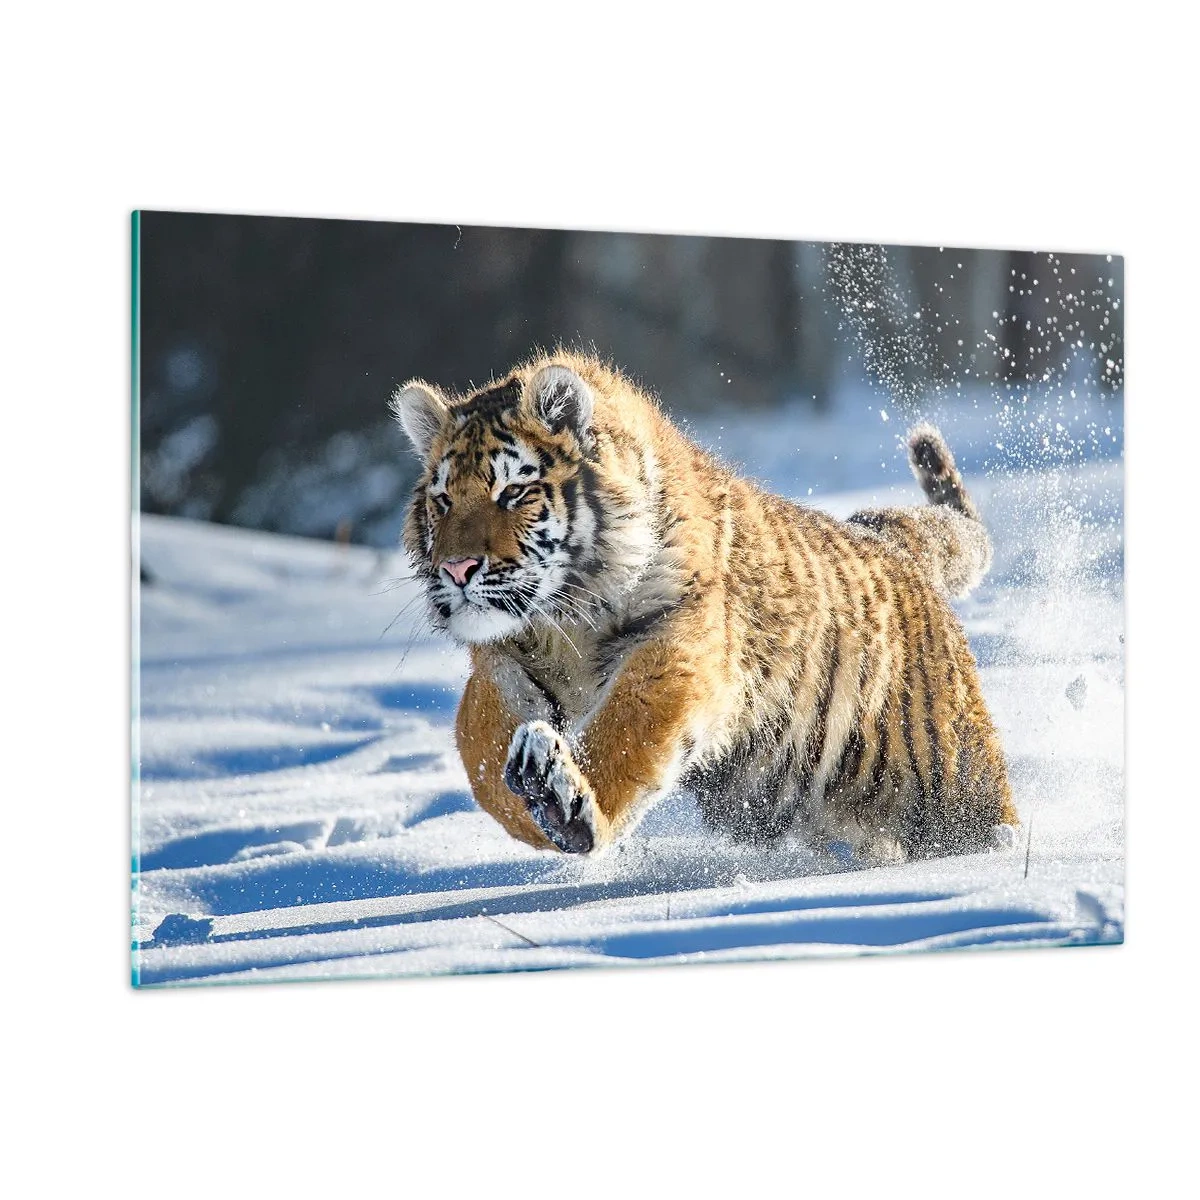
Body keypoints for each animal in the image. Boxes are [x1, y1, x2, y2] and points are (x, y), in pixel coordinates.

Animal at [389, 350, 1017, 865]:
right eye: (443, 501)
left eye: (513, 492)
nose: (456, 570)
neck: (562, 620)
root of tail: (892, 542)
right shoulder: (499, 663)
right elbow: (480, 752)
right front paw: (531, 800)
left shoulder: (677, 644)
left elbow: (626, 729)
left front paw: (566, 804)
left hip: (953, 777)